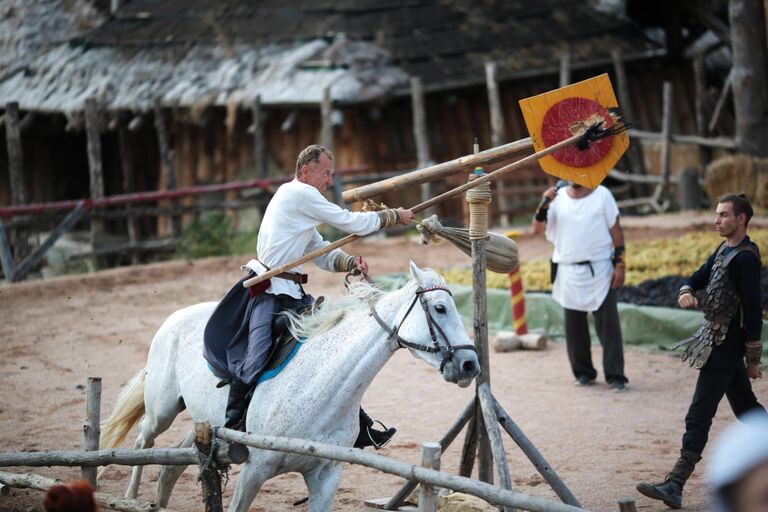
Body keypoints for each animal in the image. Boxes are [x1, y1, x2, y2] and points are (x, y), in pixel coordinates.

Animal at [98, 264, 476, 512]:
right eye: (440, 308)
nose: (471, 364)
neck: (319, 391)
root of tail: (175, 317)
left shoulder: (326, 477)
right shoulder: (254, 471)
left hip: (204, 422)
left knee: (171, 464)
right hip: (162, 409)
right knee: (143, 442)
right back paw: (128, 497)